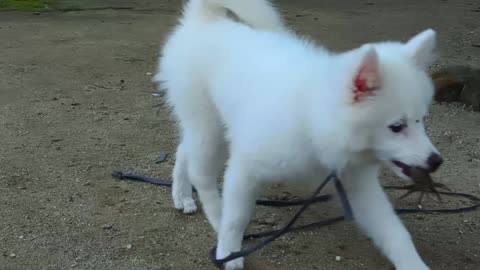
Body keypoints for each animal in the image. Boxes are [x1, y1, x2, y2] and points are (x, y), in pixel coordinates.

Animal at [156, 1, 444, 268]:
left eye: (421, 120)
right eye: (397, 126)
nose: (436, 161)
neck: (310, 118)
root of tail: (207, 20)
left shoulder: (357, 186)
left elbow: (394, 232)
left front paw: (414, 264)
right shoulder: (246, 169)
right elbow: (236, 219)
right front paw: (228, 252)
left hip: (203, 126)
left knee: (183, 149)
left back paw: (182, 196)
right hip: (209, 127)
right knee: (201, 174)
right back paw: (215, 215)